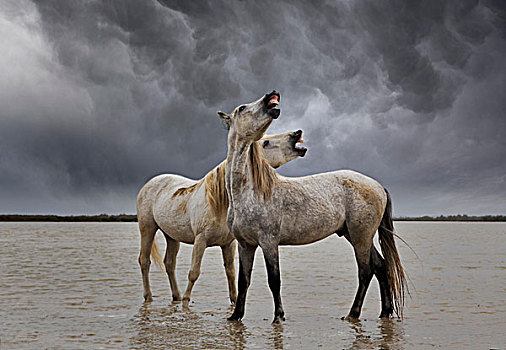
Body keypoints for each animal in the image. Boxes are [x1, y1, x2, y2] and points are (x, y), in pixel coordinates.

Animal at [136, 130, 306, 304]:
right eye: (265, 143)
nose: (295, 134)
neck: (218, 203)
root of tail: (151, 183)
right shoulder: (200, 241)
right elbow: (194, 272)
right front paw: (186, 299)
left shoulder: (228, 244)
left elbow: (230, 273)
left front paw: (234, 300)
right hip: (147, 228)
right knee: (144, 260)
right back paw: (149, 296)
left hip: (171, 236)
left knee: (169, 263)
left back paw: (176, 296)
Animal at [217, 91, 408, 324]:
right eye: (243, 108)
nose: (271, 96)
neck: (247, 193)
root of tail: (378, 186)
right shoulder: (246, 245)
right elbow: (243, 280)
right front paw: (236, 316)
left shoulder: (269, 243)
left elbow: (274, 280)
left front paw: (278, 316)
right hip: (354, 235)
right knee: (381, 267)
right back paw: (385, 311)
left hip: (361, 237)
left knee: (366, 271)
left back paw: (353, 313)